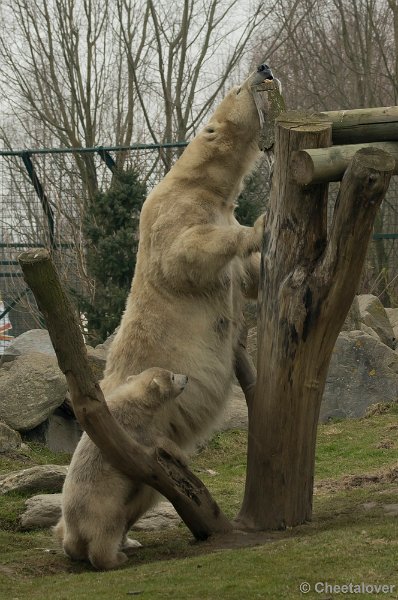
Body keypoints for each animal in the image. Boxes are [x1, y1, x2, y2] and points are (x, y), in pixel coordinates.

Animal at [100, 67, 274, 524]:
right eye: (238, 88)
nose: (263, 68)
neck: (201, 184)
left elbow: (248, 280)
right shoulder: (170, 214)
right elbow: (185, 254)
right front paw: (260, 227)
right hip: (135, 415)